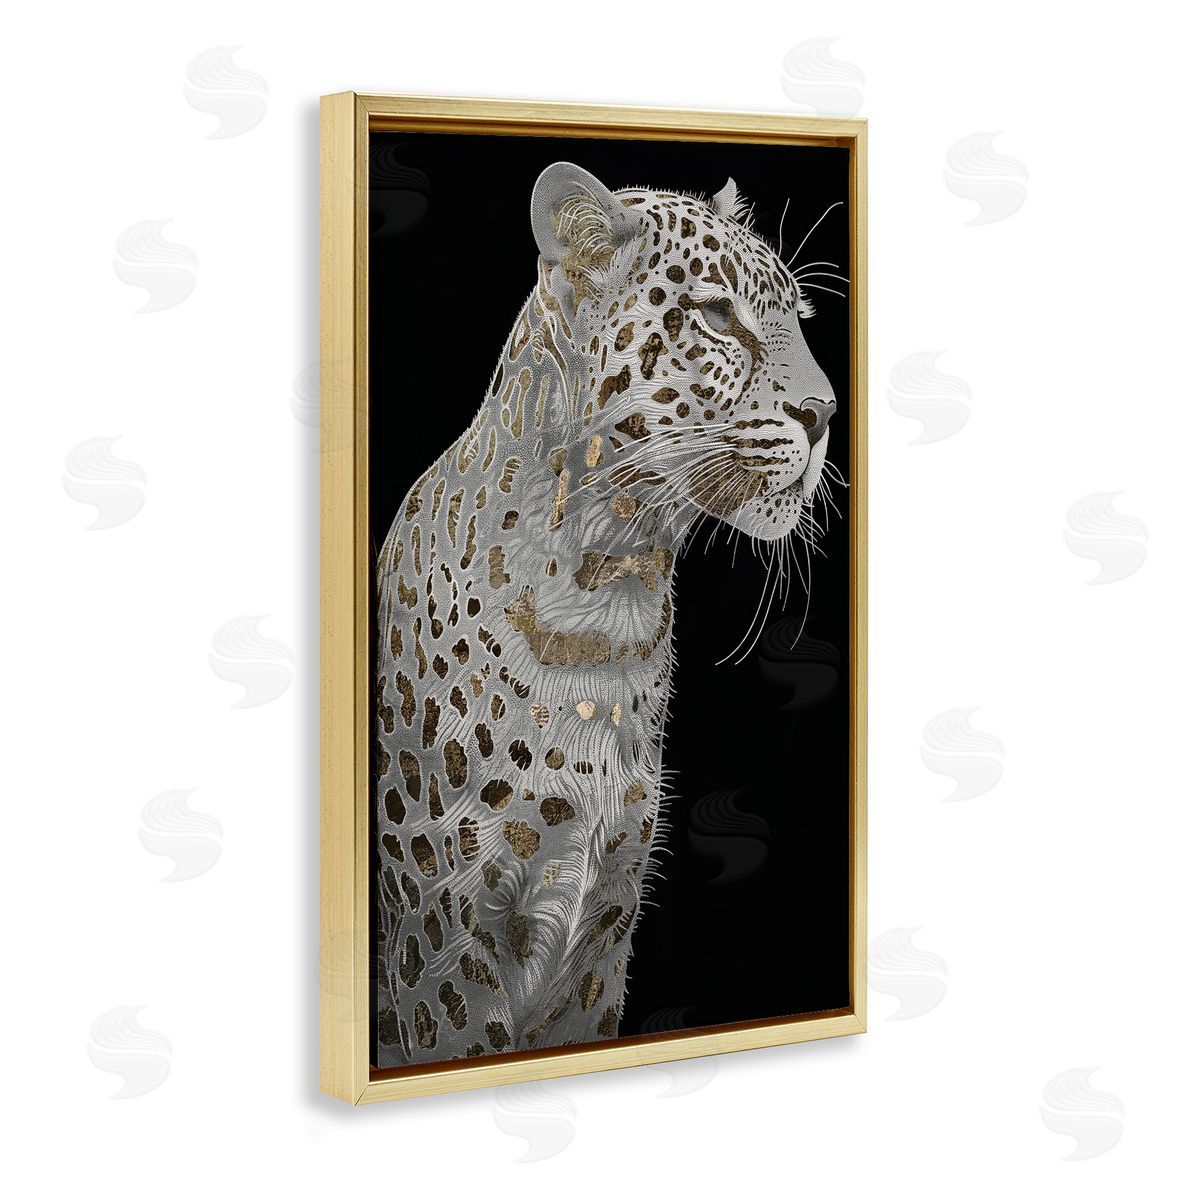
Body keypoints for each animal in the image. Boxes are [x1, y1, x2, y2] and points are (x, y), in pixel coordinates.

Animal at [374, 161, 839, 1065]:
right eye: (718, 315)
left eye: (795, 320)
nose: (828, 413)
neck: (609, 595)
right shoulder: (445, 936)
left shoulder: (606, 922)